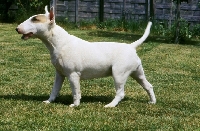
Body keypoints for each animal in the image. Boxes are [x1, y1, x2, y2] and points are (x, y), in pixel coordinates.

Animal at [16, 6, 156, 107]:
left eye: (35, 19)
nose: (17, 29)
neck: (60, 43)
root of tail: (131, 46)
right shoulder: (59, 74)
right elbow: (55, 89)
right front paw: (49, 101)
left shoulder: (73, 74)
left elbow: (76, 91)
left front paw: (75, 105)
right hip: (137, 72)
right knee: (148, 85)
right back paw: (152, 102)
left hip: (119, 73)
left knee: (120, 93)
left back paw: (110, 105)